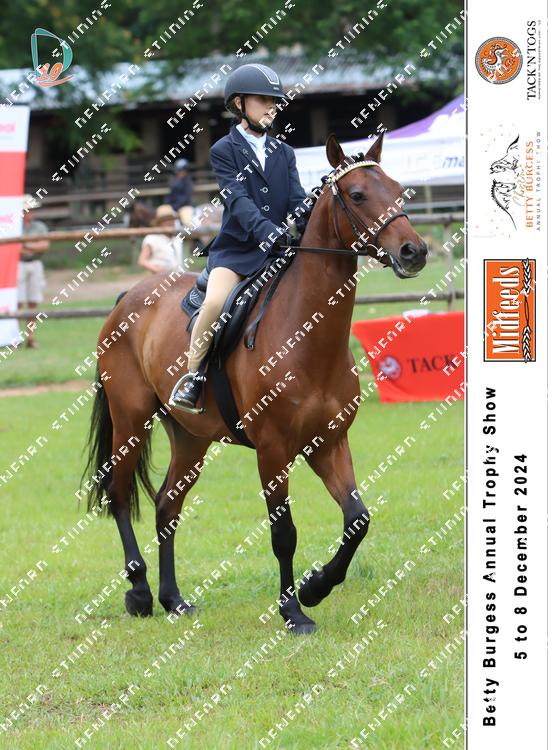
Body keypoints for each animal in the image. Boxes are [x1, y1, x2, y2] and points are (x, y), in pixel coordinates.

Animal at [81, 133, 428, 634]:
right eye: (358, 195)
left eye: (400, 190)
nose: (413, 252)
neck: (308, 335)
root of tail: (129, 295)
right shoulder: (273, 449)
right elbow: (284, 533)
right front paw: (293, 611)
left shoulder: (328, 443)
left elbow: (357, 519)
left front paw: (315, 586)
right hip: (131, 419)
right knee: (120, 495)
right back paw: (141, 592)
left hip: (190, 436)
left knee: (167, 505)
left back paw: (173, 599)